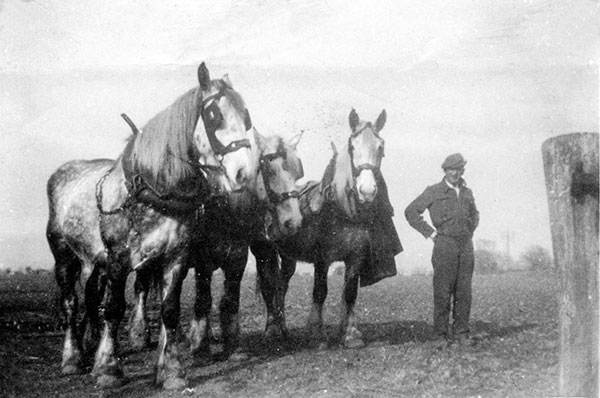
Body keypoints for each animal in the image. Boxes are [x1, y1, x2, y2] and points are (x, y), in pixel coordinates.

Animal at [46, 63, 258, 388]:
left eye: (246, 116)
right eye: (213, 115)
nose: (243, 173)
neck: (152, 189)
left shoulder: (175, 258)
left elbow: (170, 309)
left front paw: (171, 371)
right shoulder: (118, 259)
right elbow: (114, 309)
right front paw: (108, 368)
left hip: (96, 261)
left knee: (92, 294)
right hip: (64, 256)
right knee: (70, 303)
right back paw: (72, 358)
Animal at [126, 130, 304, 358]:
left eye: (298, 173)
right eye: (271, 171)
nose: (293, 222)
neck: (223, 207)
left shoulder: (238, 258)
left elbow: (232, 299)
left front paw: (234, 343)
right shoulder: (203, 262)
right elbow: (204, 299)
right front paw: (199, 345)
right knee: (143, 288)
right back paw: (142, 336)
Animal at [255, 107, 400, 350]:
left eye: (380, 146)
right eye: (352, 146)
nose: (367, 190)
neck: (340, 211)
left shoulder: (356, 257)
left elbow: (349, 293)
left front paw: (350, 335)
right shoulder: (322, 258)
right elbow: (320, 292)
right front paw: (317, 334)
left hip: (288, 257)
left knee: (281, 286)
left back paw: (283, 330)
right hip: (263, 252)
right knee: (268, 287)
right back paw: (271, 330)